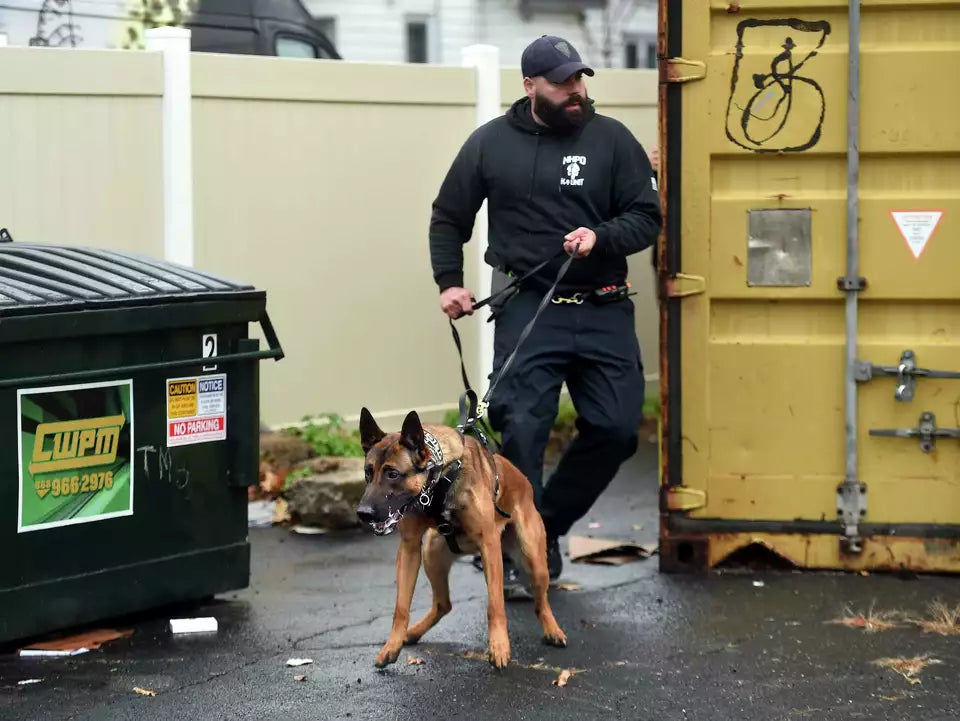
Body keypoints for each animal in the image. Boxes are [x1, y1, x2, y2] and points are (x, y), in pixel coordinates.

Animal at [356, 408, 568, 668]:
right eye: (368, 472)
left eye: (393, 474)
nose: (363, 513)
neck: (440, 477)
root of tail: (523, 480)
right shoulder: (410, 548)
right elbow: (401, 608)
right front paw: (392, 645)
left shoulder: (489, 545)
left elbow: (495, 605)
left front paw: (499, 646)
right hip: (431, 554)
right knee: (443, 604)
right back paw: (413, 632)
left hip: (533, 560)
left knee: (541, 602)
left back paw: (553, 630)